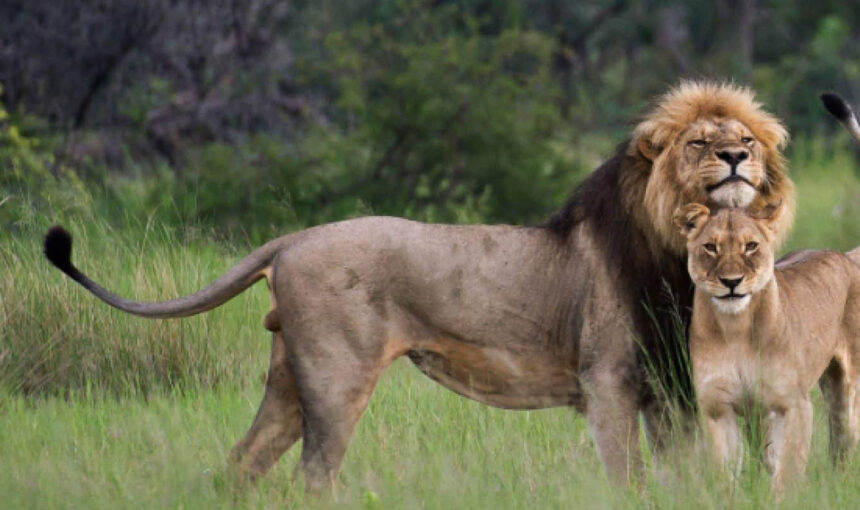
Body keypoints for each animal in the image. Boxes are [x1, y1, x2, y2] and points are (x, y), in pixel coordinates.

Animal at [43, 81, 794, 490]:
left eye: (748, 140)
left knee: (243, 461)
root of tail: (292, 239)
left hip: (288, 378)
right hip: (337, 377)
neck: (678, 250)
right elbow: (630, 479)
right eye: (700, 143)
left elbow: (684, 474)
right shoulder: (607, 383)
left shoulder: (670, 388)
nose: (737, 155)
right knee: (312, 475)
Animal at [675, 204, 860, 496]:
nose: (731, 282)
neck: (735, 328)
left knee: (842, 447)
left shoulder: (793, 404)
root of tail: (846, 256)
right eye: (710, 247)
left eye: (751, 246)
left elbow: (788, 474)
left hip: (845, 396)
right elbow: (725, 474)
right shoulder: (717, 409)